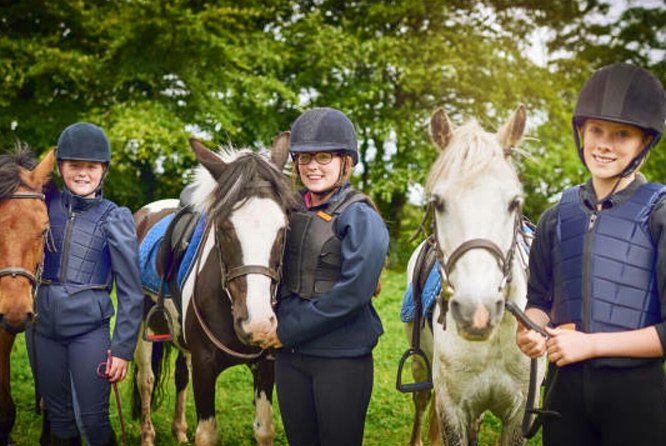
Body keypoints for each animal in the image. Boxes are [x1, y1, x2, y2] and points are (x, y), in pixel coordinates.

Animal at [132, 134, 296, 446]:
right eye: (224, 229)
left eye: (283, 229)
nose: (258, 325)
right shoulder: (205, 367)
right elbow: (207, 434)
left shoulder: (265, 365)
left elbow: (264, 429)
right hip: (141, 325)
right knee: (145, 379)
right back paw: (147, 435)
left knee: (181, 375)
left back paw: (179, 430)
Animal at [402, 105, 545, 446]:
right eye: (437, 203)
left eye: (514, 202)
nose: (476, 313)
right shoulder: (452, 409)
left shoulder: (518, 416)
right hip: (420, 367)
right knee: (421, 401)